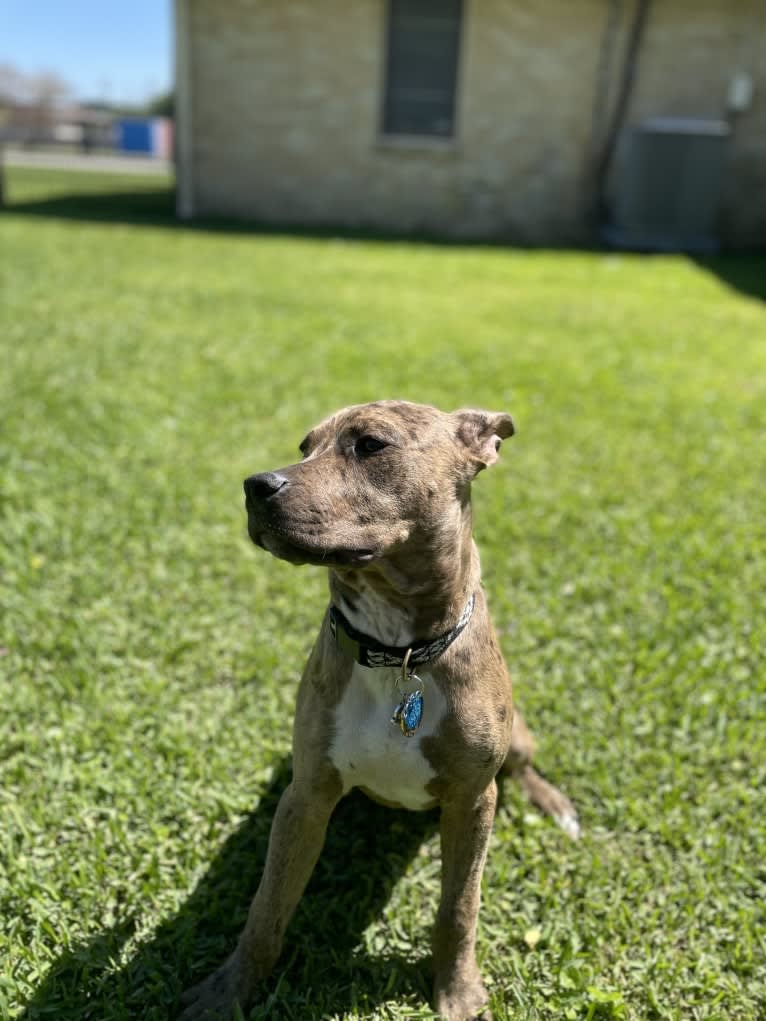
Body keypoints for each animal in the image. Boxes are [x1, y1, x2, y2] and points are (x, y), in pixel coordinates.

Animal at [179, 398, 576, 1021]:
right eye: (304, 447)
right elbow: (268, 906)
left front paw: (457, 990)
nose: (255, 485)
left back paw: (553, 803)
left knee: (524, 768)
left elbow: (459, 908)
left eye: (370, 445)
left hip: (517, 740)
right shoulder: (307, 794)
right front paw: (229, 990)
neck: (398, 655)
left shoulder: (472, 801)